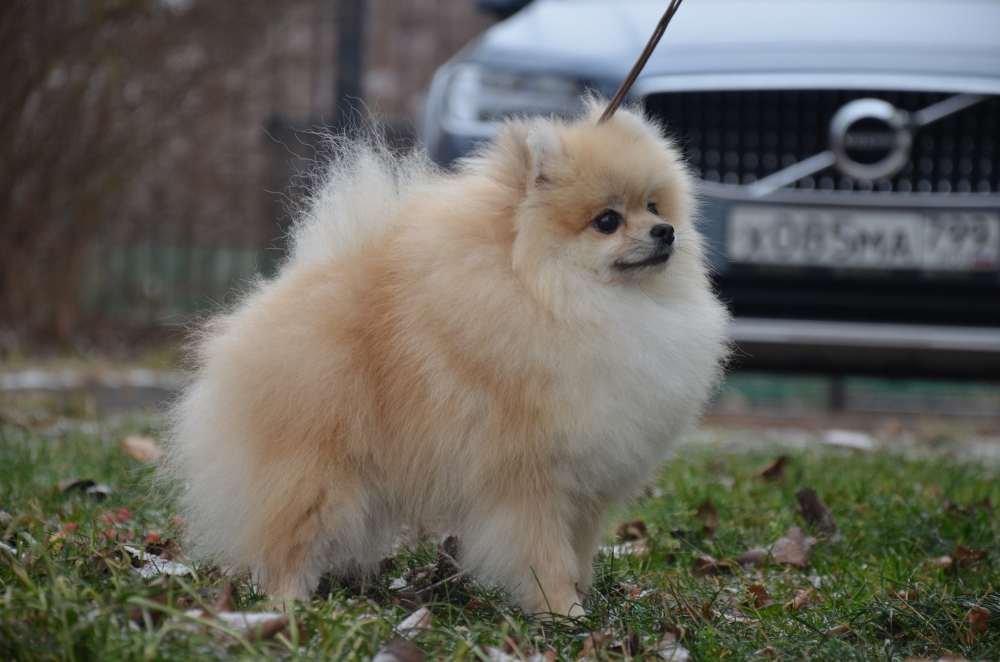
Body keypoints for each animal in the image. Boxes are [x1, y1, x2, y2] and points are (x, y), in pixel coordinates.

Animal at [164, 101, 728, 620]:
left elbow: (579, 551)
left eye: (654, 205)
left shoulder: (586, 485)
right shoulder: (528, 480)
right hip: (319, 469)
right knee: (290, 535)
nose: (665, 232)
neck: (562, 296)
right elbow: (546, 556)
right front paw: (562, 612)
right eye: (607, 221)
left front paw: (581, 598)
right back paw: (287, 604)